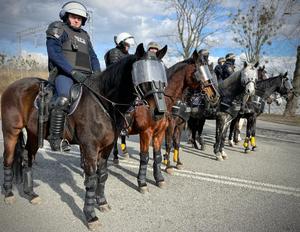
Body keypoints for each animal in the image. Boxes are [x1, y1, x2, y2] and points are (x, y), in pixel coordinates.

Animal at [0, 43, 164, 230]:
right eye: (143, 74)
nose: (159, 111)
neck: (103, 102)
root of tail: (12, 87)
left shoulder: (107, 148)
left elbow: (103, 175)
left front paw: (102, 202)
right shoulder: (90, 147)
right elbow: (91, 180)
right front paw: (91, 215)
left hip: (34, 134)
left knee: (27, 158)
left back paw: (31, 193)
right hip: (11, 131)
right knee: (8, 158)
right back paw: (9, 193)